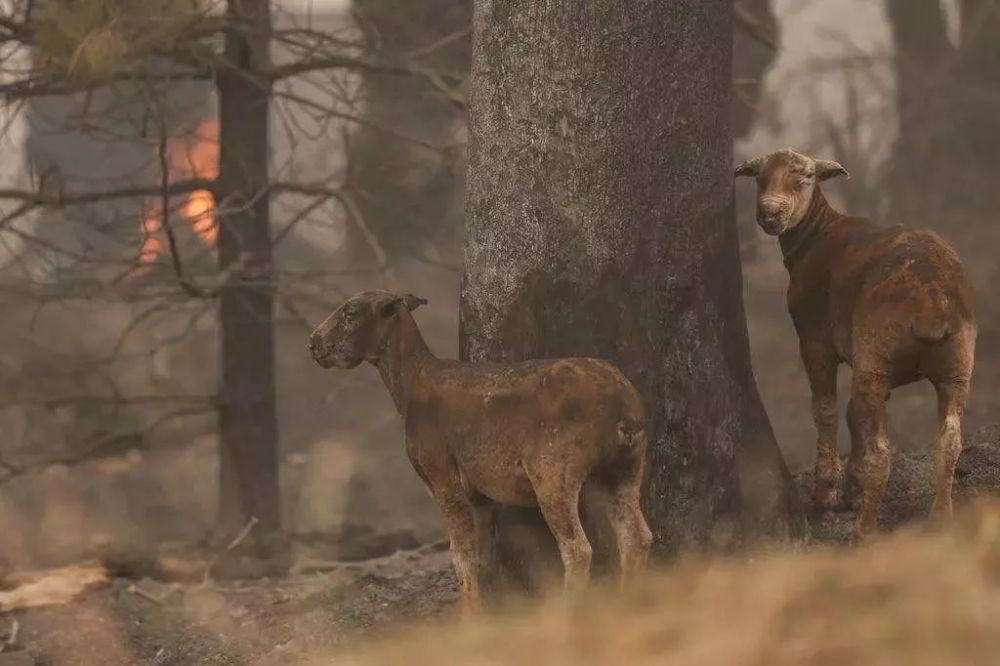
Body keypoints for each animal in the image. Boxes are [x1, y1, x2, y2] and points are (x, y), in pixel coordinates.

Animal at [312, 290, 656, 612]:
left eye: (351, 312)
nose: (314, 343)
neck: (411, 387)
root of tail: (623, 406)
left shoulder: (441, 476)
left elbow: (460, 553)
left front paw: (468, 617)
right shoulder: (482, 494)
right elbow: (483, 558)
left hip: (553, 474)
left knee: (577, 548)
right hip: (625, 470)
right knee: (637, 538)